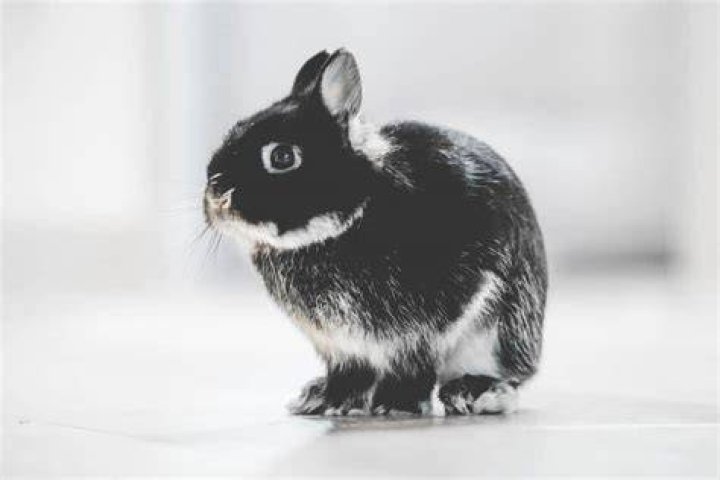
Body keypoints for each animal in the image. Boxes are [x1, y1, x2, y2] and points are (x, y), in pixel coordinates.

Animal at [204, 48, 547, 416]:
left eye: (282, 156)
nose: (217, 196)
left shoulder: (422, 330)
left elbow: (412, 365)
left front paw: (396, 406)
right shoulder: (341, 347)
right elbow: (350, 374)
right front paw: (335, 403)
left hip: (499, 333)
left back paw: (473, 393)